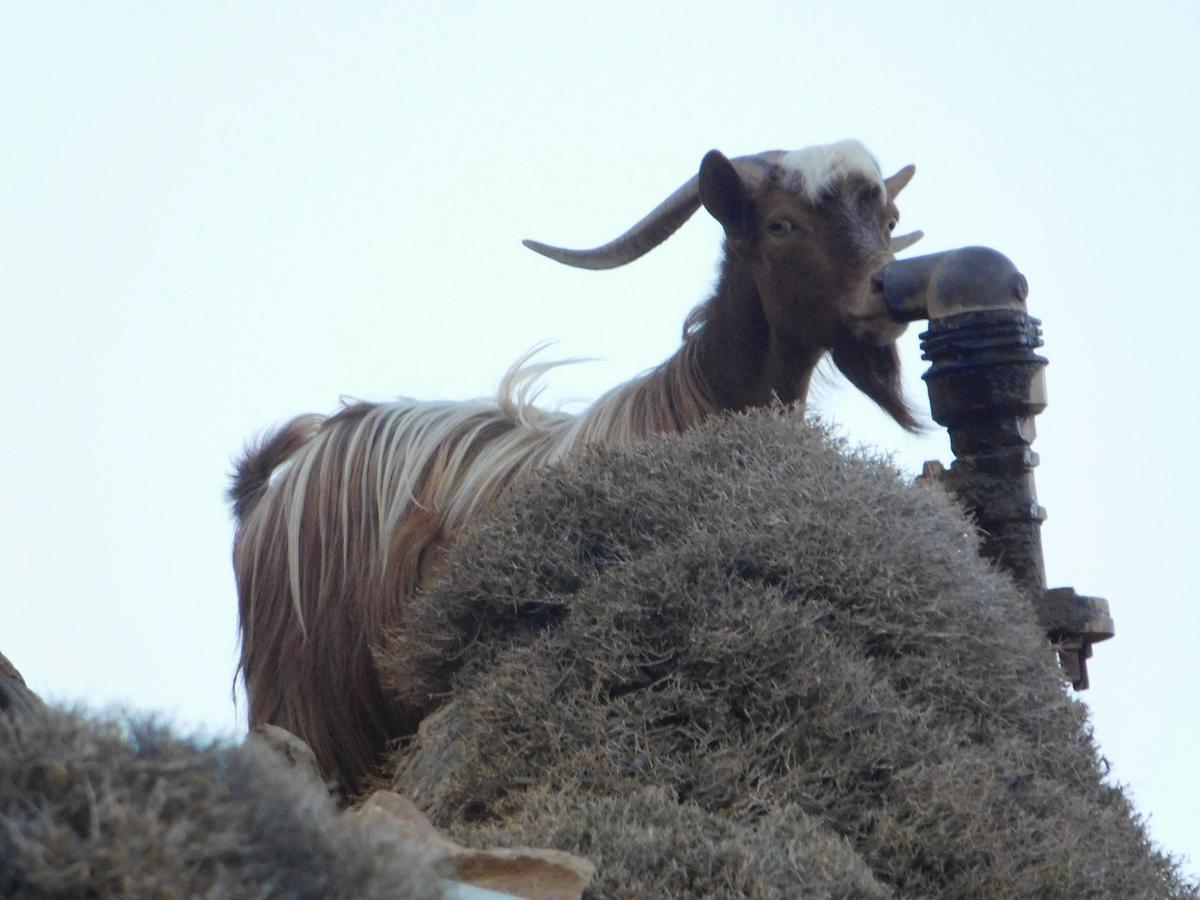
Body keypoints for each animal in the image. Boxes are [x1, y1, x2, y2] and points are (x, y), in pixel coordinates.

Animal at [229, 141, 921, 796]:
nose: (886, 289)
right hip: (311, 702)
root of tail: (275, 488)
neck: (698, 405)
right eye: (782, 224)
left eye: (887, 219)